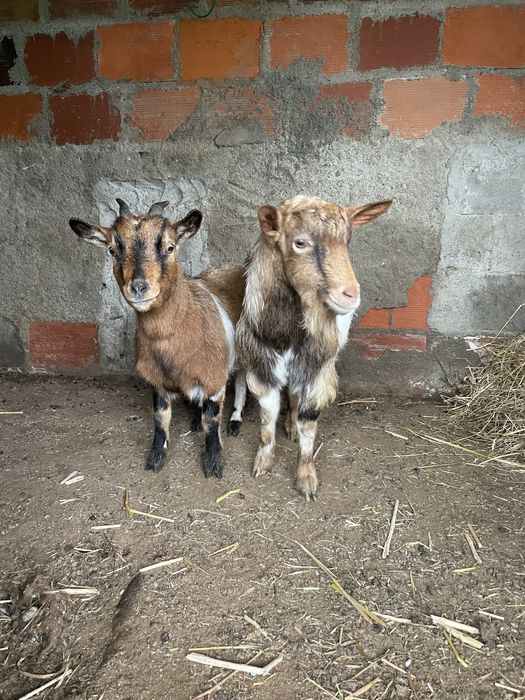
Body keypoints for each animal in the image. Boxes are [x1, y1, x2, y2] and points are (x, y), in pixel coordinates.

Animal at [69, 199, 247, 478]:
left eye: (170, 247)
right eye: (112, 249)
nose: (139, 287)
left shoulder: (214, 378)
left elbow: (212, 421)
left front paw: (213, 465)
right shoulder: (157, 380)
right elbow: (160, 420)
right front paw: (155, 459)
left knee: (241, 383)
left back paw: (235, 421)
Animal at [236, 195, 391, 500]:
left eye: (347, 241)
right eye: (300, 243)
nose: (350, 294)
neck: (286, 332)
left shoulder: (318, 366)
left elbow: (309, 419)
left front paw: (306, 479)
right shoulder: (262, 364)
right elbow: (267, 415)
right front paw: (263, 462)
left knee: (297, 396)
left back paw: (291, 426)